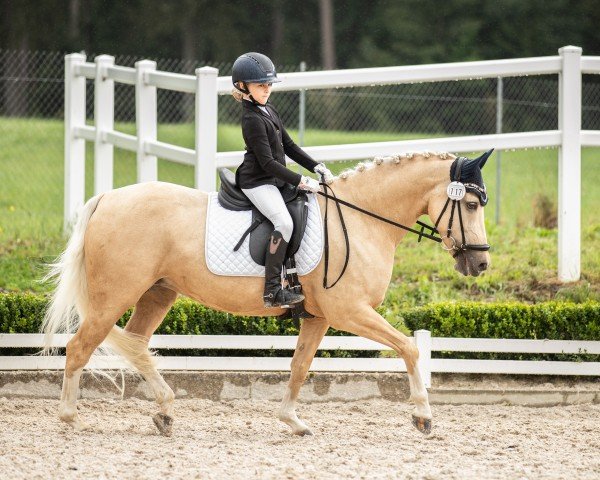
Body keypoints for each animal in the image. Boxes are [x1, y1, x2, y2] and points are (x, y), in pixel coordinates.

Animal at [43, 150, 492, 436]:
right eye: (470, 205)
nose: (481, 264)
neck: (362, 219)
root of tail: (107, 198)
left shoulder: (320, 317)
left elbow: (299, 367)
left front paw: (292, 421)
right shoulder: (350, 312)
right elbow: (410, 348)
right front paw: (423, 418)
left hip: (157, 293)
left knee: (135, 344)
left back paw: (165, 413)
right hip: (114, 298)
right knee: (80, 346)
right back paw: (70, 417)